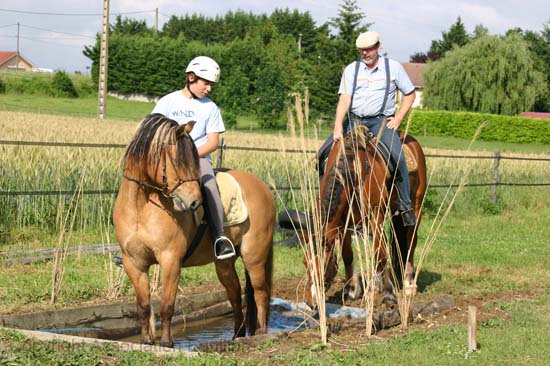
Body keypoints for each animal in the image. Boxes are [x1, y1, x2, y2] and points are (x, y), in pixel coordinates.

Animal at [114, 114, 276, 348]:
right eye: (174, 161)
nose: (194, 202)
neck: (141, 207)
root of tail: (263, 187)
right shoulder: (133, 262)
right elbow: (143, 306)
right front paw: (146, 342)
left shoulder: (170, 259)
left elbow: (167, 305)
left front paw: (167, 344)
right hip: (225, 263)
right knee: (235, 294)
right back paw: (236, 336)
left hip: (254, 255)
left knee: (260, 293)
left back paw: (260, 334)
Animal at [282, 124, 430, 308]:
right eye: (304, 262)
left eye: (324, 265)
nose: (311, 302)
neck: (355, 171)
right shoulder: (343, 221)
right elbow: (348, 254)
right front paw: (351, 290)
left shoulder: (376, 215)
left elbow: (381, 255)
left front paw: (389, 295)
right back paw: (374, 285)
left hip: (415, 208)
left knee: (410, 242)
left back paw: (409, 283)